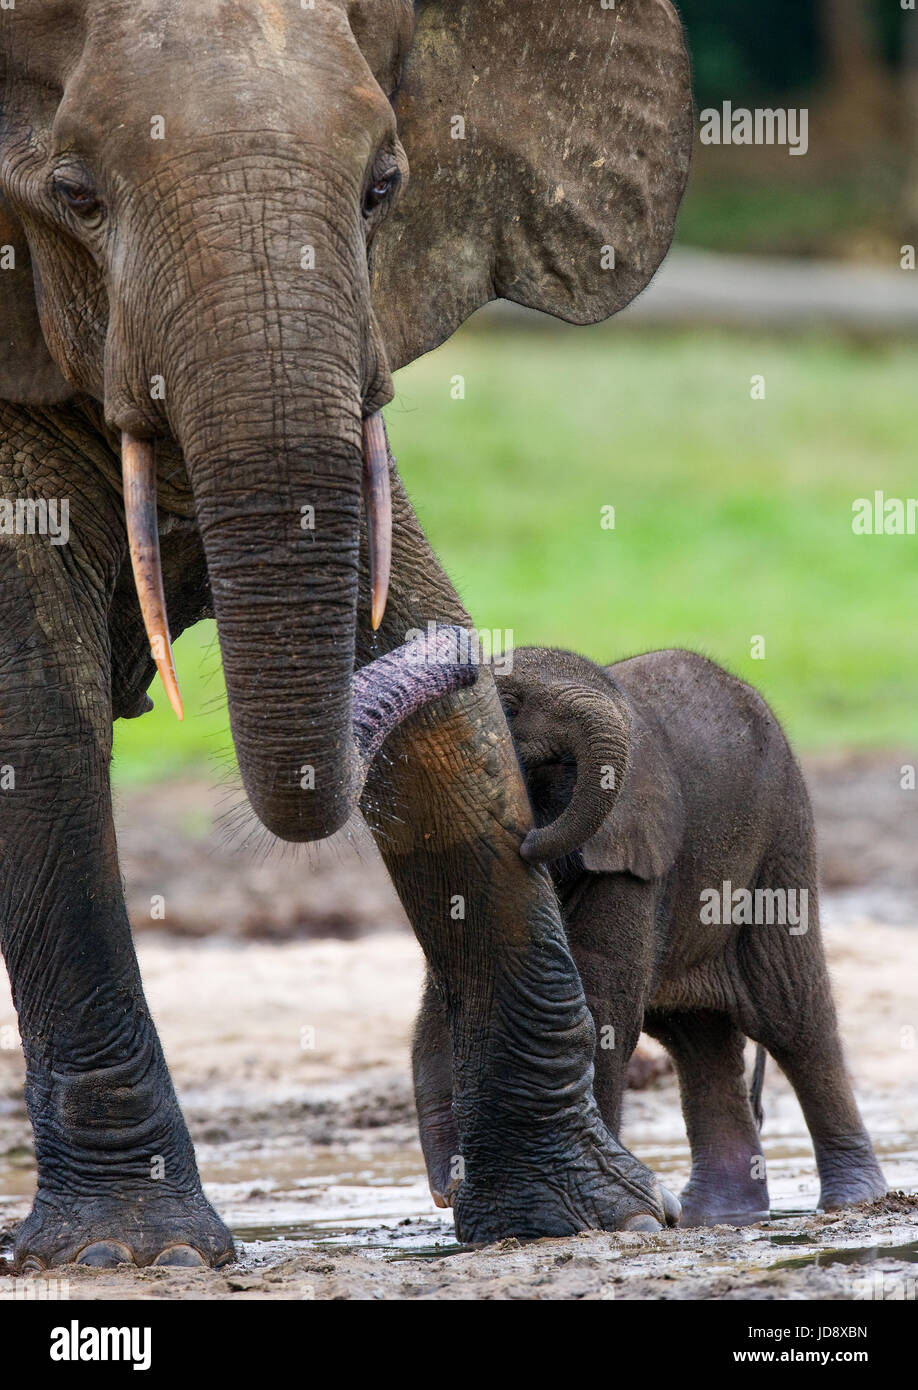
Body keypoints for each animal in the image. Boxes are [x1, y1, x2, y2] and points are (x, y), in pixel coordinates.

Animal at [0, 0, 689, 1267]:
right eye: (74, 193)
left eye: (384, 187)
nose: (494, 660)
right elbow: (36, 719)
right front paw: (136, 1253)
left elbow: (429, 692)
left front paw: (584, 1217)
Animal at [411, 650, 884, 1228]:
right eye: (510, 705)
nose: (526, 841)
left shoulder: (633, 854)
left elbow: (602, 1007)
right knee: (697, 1037)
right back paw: (717, 1217)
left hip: (782, 844)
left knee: (794, 1019)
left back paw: (852, 1202)